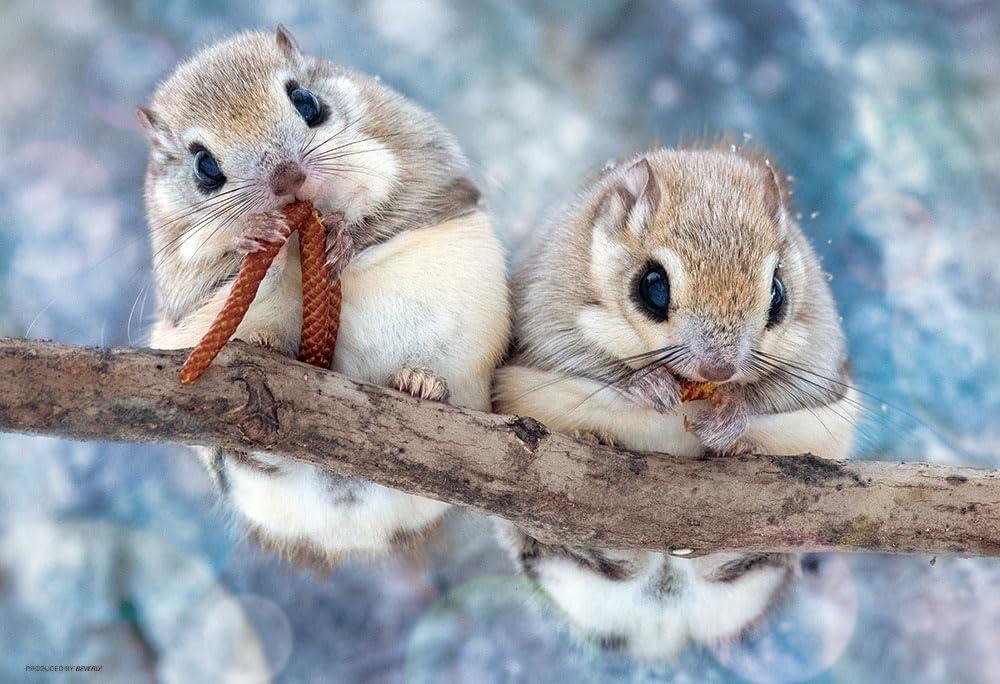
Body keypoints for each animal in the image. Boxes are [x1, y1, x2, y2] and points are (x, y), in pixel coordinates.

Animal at [139, 27, 510, 569]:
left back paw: (419, 385)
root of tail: (351, 532)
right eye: (204, 166)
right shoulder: (181, 274)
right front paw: (257, 238)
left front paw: (343, 235)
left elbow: (387, 204)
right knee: (256, 460)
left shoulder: (418, 161)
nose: (286, 178)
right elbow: (215, 270)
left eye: (306, 102)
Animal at [493, 147, 857, 659]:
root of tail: (660, 629)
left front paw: (730, 418)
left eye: (778, 294)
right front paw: (650, 385)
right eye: (653, 286)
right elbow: (585, 359)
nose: (719, 370)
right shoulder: (547, 307)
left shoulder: (821, 345)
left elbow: (787, 390)